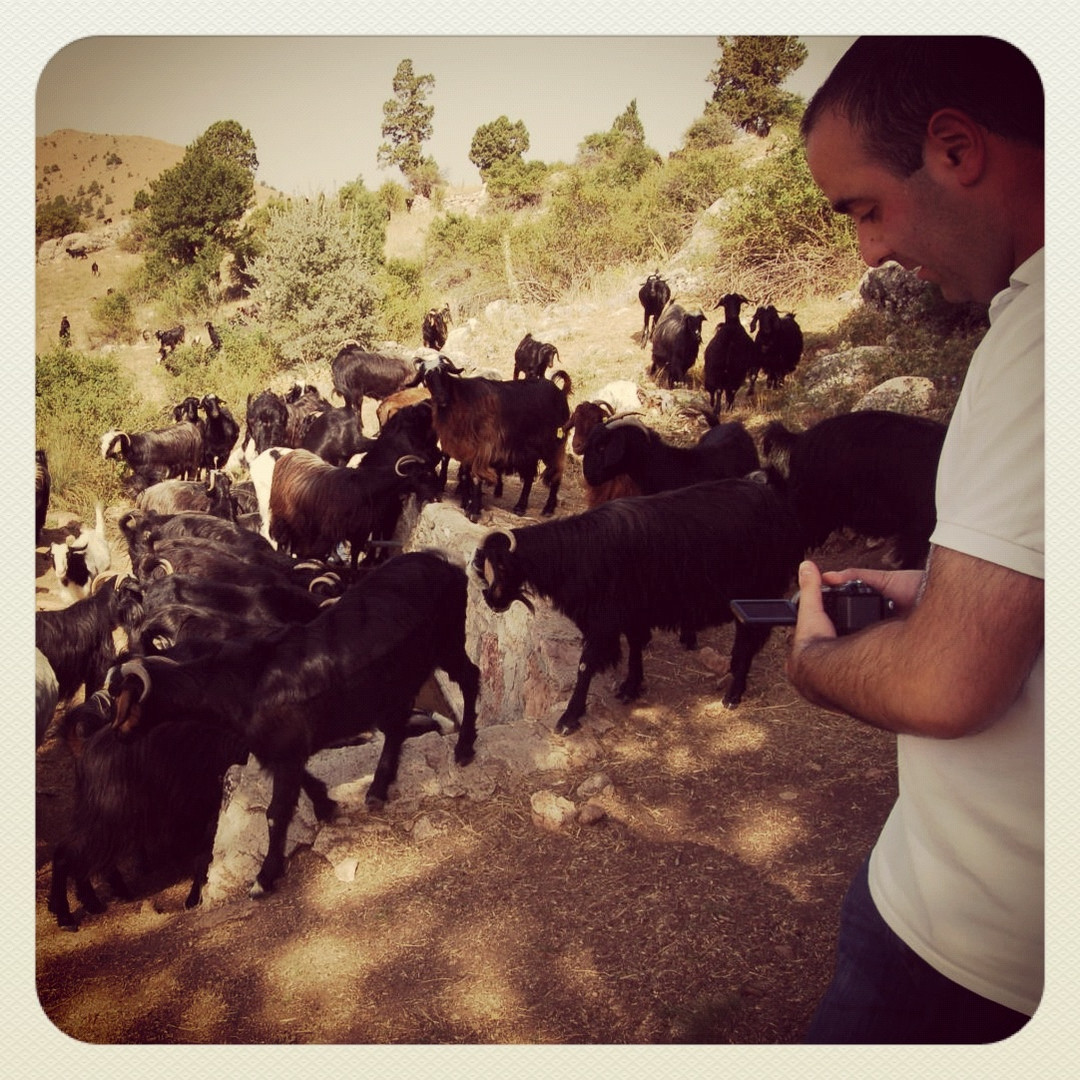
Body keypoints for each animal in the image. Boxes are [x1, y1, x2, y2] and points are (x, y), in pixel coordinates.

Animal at [104, 548, 481, 894]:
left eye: (127, 701)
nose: (117, 734)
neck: (235, 686)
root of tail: (444, 562)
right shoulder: (280, 750)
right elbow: (304, 782)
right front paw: (326, 805)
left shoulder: (283, 750)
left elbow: (276, 812)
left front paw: (264, 878)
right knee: (398, 723)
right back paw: (377, 788)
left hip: (448, 642)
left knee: (470, 678)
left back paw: (463, 749)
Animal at [406, 352, 574, 520]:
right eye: (426, 376)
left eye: (443, 371)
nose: (441, 399)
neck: (462, 399)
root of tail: (560, 392)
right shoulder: (466, 450)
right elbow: (465, 476)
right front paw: (466, 503)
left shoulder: (483, 449)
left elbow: (476, 477)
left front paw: (474, 511)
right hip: (531, 450)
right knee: (529, 476)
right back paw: (520, 507)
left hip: (554, 444)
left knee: (556, 473)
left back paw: (548, 508)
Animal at [473, 481, 803, 734]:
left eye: (501, 566)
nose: (491, 601)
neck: (576, 554)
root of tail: (773, 501)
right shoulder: (631, 612)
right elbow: (634, 647)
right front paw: (631, 687)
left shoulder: (604, 620)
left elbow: (585, 665)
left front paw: (570, 717)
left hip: (757, 591)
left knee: (748, 639)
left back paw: (733, 694)